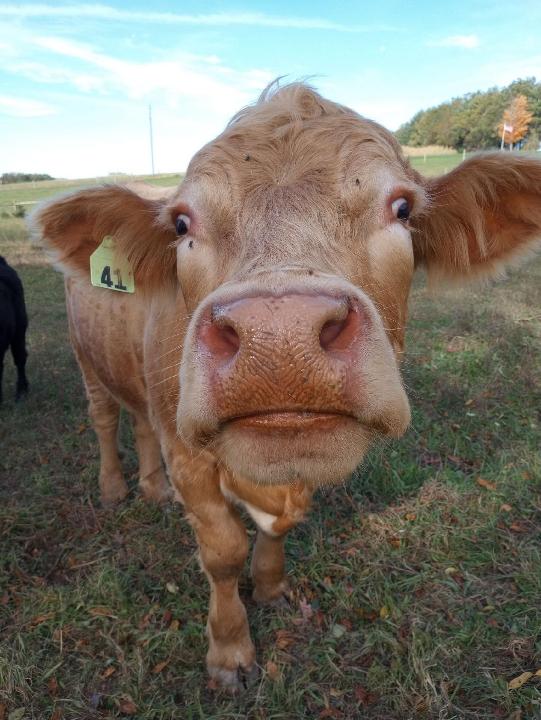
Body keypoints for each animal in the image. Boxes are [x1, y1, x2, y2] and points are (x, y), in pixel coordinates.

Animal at [32, 83, 540, 692]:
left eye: (401, 208)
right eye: (181, 225)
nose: (280, 336)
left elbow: (279, 527)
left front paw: (271, 586)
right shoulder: (188, 454)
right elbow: (223, 551)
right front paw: (229, 650)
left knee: (137, 419)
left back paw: (152, 488)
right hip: (86, 359)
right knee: (106, 420)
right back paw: (113, 488)